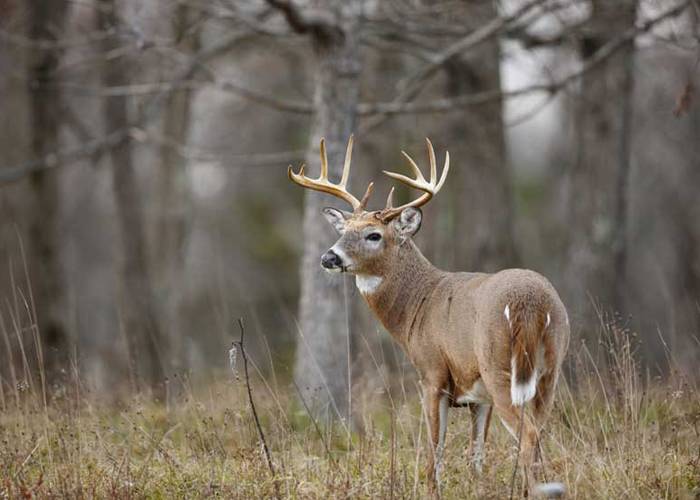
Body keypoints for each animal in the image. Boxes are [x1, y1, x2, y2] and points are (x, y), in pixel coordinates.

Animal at [288, 136, 570, 497]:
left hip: (500, 367)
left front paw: (431, 490)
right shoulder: (478, 396)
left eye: (373, 235)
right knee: (539, 433)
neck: (418, 306)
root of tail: (531, 303)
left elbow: (434, 449)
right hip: (549, 370)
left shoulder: (432, 373)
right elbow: (476, 455)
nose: (328, 257)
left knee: (529, 435)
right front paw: (477, 488)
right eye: (344, 229)